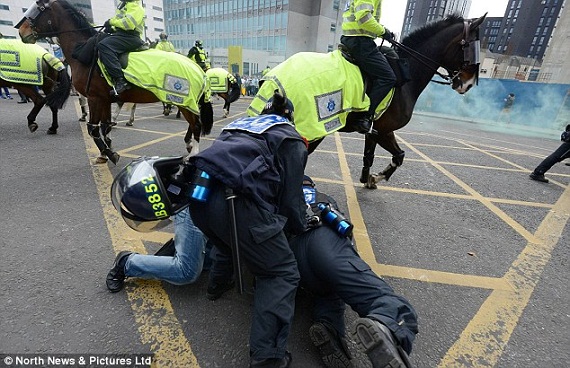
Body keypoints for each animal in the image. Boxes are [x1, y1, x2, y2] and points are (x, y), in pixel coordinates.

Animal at [18, 0, 213, 164]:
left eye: (38, 9)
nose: (21, 31)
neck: (83, 52)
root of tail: (197, 69)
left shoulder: (94, 98)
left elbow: (93, 128)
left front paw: (110, 153)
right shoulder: (105, 99)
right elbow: (105, 127)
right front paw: (105, 152)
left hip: (183, 100)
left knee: (196, 125)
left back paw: (193, 153)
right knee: (193, 124)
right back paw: (188, 144)